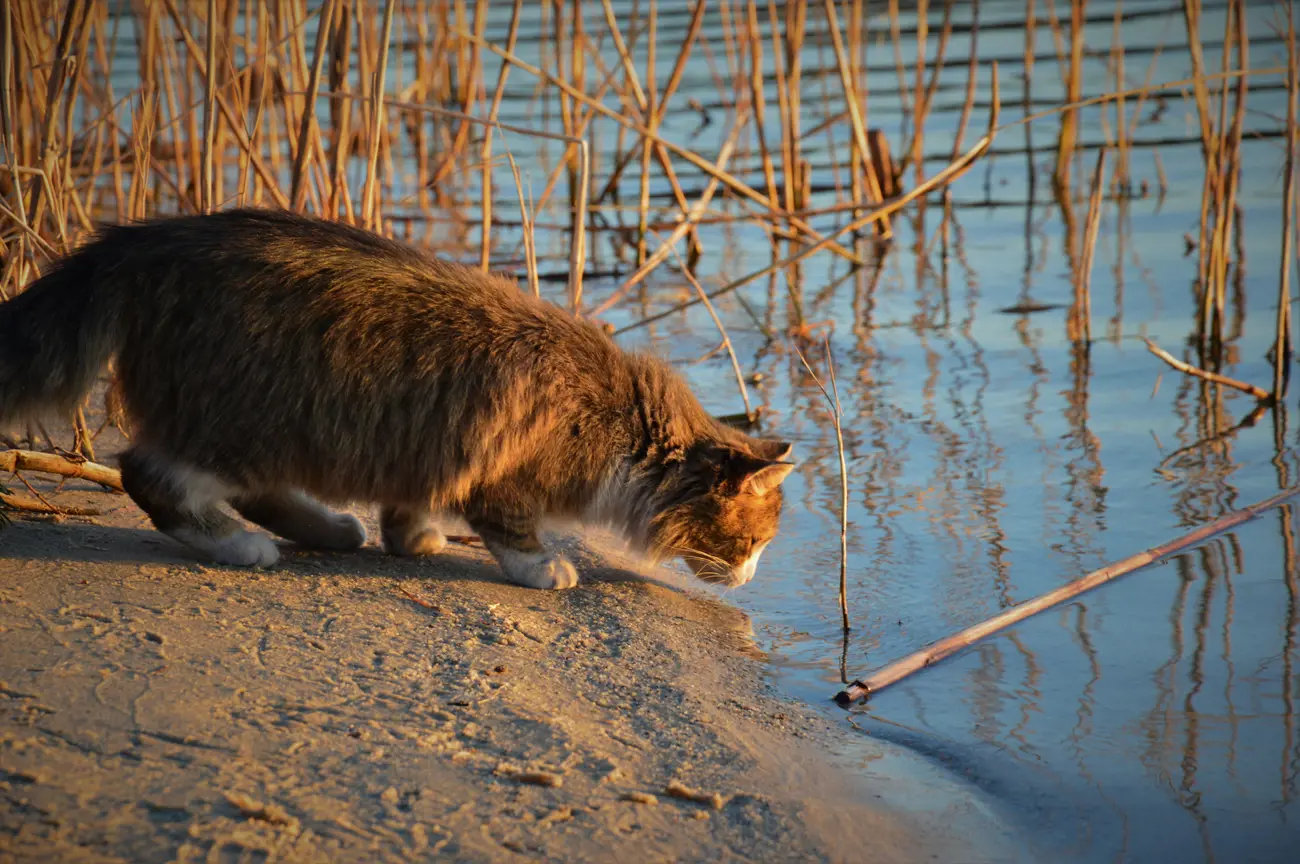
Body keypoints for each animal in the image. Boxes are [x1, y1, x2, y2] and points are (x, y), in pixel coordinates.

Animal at [0, 207, 795, 587]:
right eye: (755, 542)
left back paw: (329, 529)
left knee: (255, 491)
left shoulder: (430, 443)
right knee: (149, 475)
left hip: (280, 430)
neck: (622, 426)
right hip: (243, 421)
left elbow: (410, 505)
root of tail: (145, 239)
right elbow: (512, 528)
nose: (754, 577)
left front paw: (410, 538)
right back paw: (239, 545)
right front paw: (542, 568)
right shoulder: (506, 469)